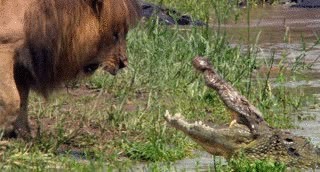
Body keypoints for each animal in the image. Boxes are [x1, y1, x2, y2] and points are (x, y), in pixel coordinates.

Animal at [0, 0, 141, 139]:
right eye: (114, 35)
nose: (123, 63)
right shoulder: (5, 49)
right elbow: (13, 100)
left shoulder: (21, 66)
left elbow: (22, 100)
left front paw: (23, 136)